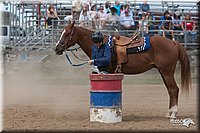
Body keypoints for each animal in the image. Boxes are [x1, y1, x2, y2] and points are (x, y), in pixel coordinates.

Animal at [54, 21, 191, 119]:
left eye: (66, 34)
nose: (56, 49)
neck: (102, 45)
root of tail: (173, 43)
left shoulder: (108, 71)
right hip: (163, 72)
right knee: (170, 90)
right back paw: (169, 113)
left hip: (167, 72)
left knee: (174, 89)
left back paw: (173, 113)